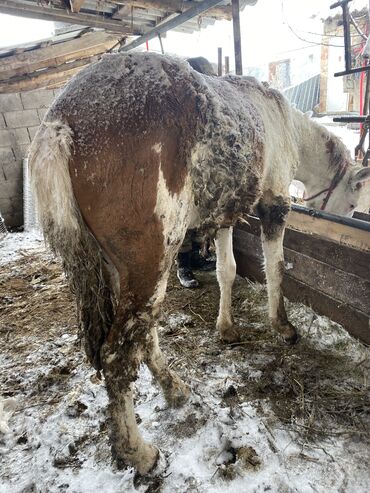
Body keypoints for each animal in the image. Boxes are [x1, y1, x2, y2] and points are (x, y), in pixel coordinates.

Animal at [28, 52, 370, 472]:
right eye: (353, 203)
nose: (347, 217)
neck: (281, 120)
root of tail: (59, 123)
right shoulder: (274, 206)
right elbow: (275, 268)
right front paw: (283, 327)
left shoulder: (223, 217)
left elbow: (227, 271)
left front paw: (226, 328)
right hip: (152, 260)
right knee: (118, 354)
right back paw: (138, 451)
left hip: (119, 268)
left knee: (143, 334)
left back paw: (174, 388)